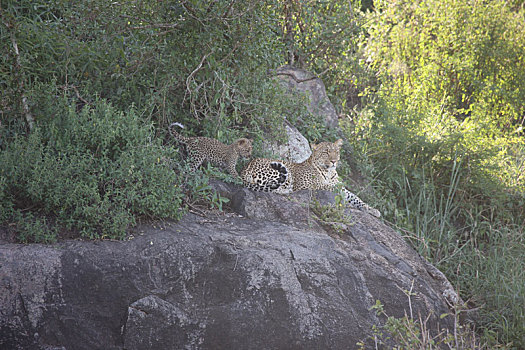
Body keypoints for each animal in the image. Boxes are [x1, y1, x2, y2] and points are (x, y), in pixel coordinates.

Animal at [242, 139, 380, 216]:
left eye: (336, 152)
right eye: (326, 152)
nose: (334, 161)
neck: (329, 172)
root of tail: (245, 168)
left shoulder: (343, 188)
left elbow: (355, 197)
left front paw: (372, 209)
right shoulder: (308, 184)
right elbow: (329, 187)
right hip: (279, 171)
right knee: (270, 186)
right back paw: (284, 190)